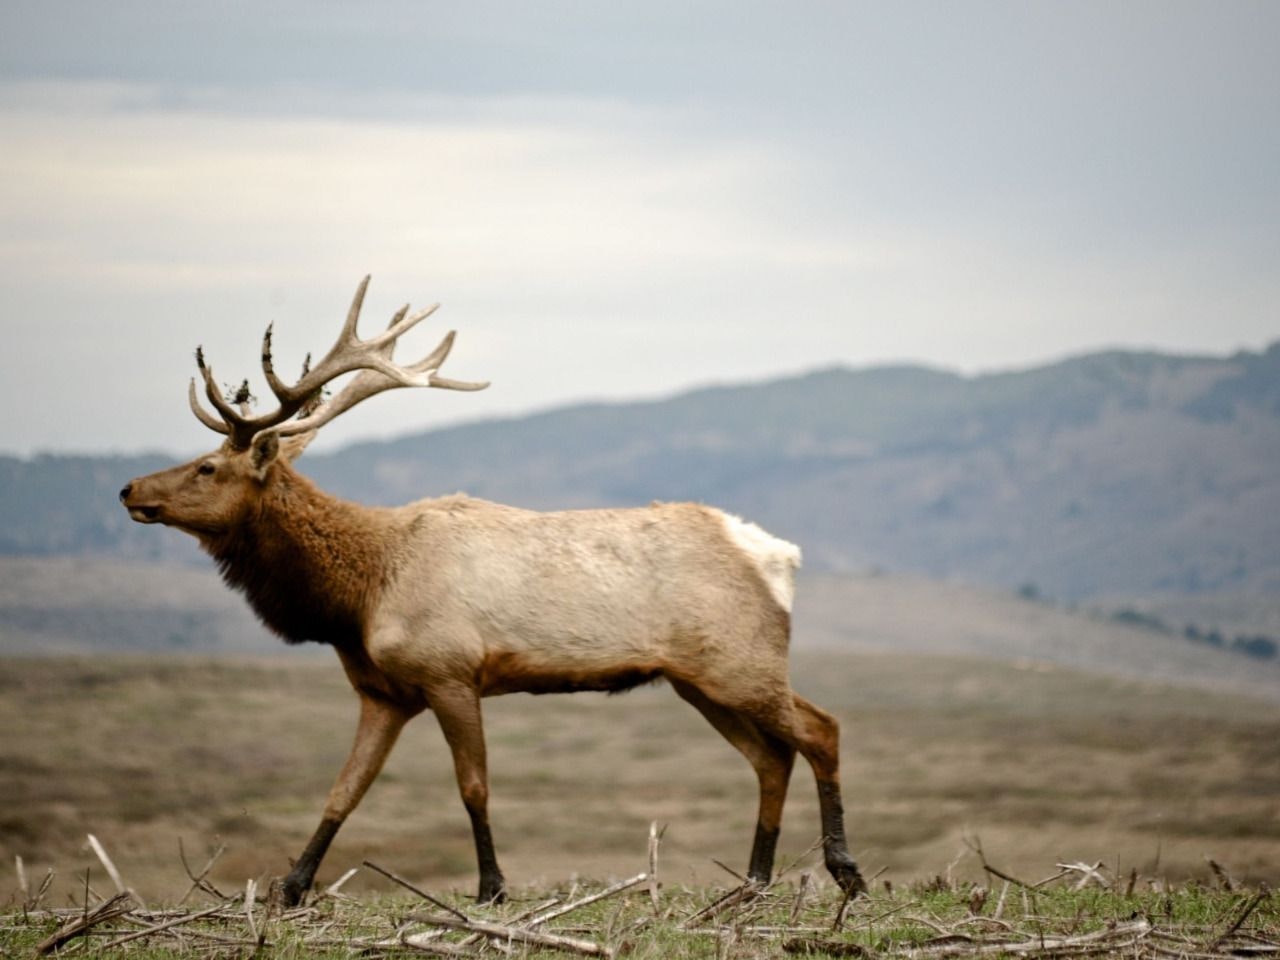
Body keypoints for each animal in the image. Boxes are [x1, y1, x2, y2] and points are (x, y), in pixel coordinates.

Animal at [119, 277, 866, 907]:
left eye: (207, 467)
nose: (129, 489)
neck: (357, 597)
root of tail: (779, 555)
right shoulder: (383, 692)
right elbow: (344, 790)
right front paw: (292, 886)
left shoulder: (450, 672)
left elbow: (473, 786)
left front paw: (492, 888)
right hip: (698, 681)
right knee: (771, 757)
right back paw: (754, 881)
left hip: (741, 663)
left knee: (821, 730)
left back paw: (845, 873)